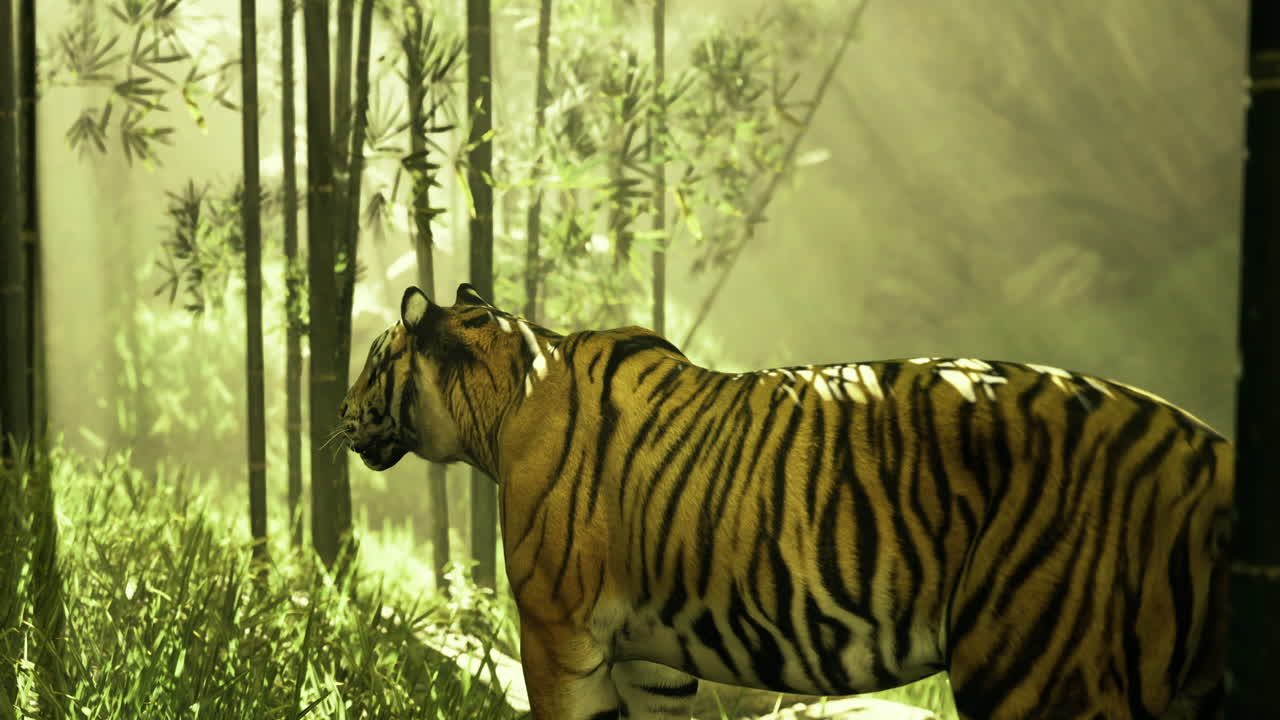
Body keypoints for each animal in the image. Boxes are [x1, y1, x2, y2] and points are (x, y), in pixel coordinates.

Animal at [340, 283, 1233, 720]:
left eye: (374, 359)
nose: (338, 412)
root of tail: (1207, 447)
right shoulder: (654, 664)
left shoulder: (558, 631)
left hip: (1036, 670)